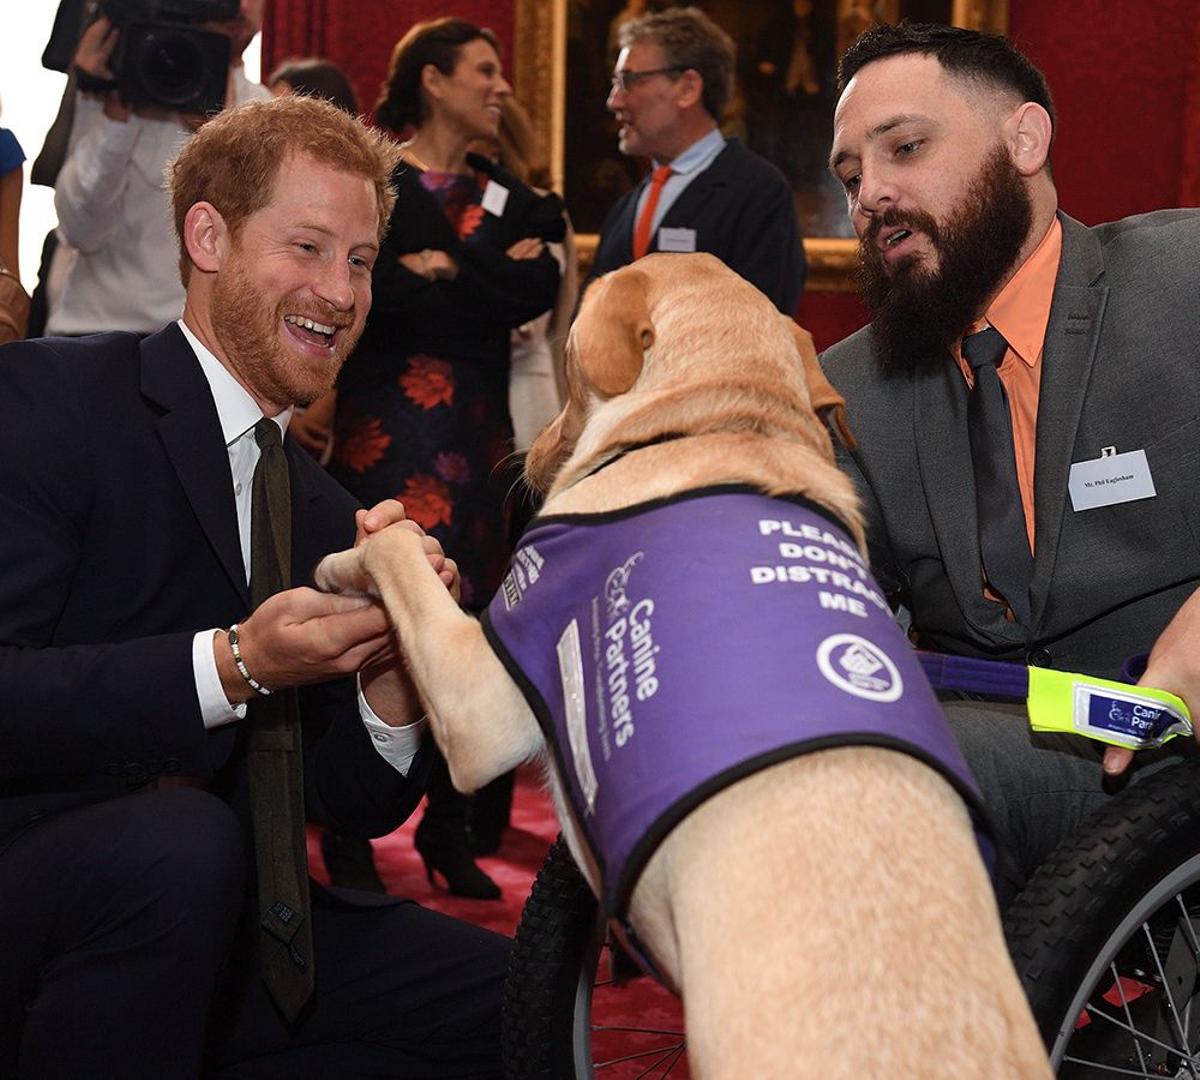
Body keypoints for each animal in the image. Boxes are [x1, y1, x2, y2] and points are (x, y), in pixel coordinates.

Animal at [316, 255, 1051, 1080]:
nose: (530, 454)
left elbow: (397, 549)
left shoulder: (480, 695)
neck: (723, 424)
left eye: (568, 369)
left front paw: (342, 562)